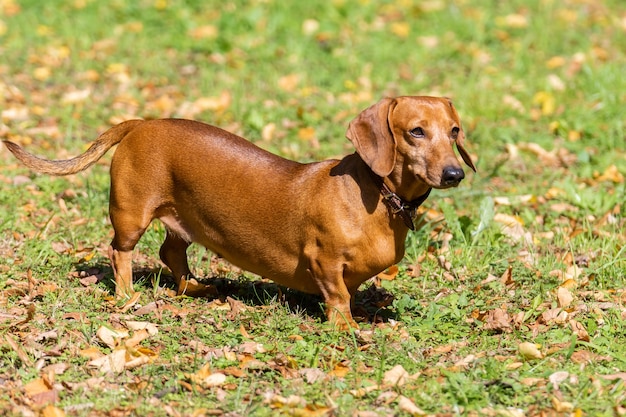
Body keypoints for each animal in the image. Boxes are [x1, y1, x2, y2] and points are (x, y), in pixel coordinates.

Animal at [3, 96, 472, 328]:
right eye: (416, 131)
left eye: (454, 131)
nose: (454, 174)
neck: (375, 194)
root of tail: (140, 123)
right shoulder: (323, 261)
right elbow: (338, 297)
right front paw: (345, 329)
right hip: (131, 214)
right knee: (120, 252)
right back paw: (126, 295)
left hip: (182, 221)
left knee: (171, 254)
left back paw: (195, 287)